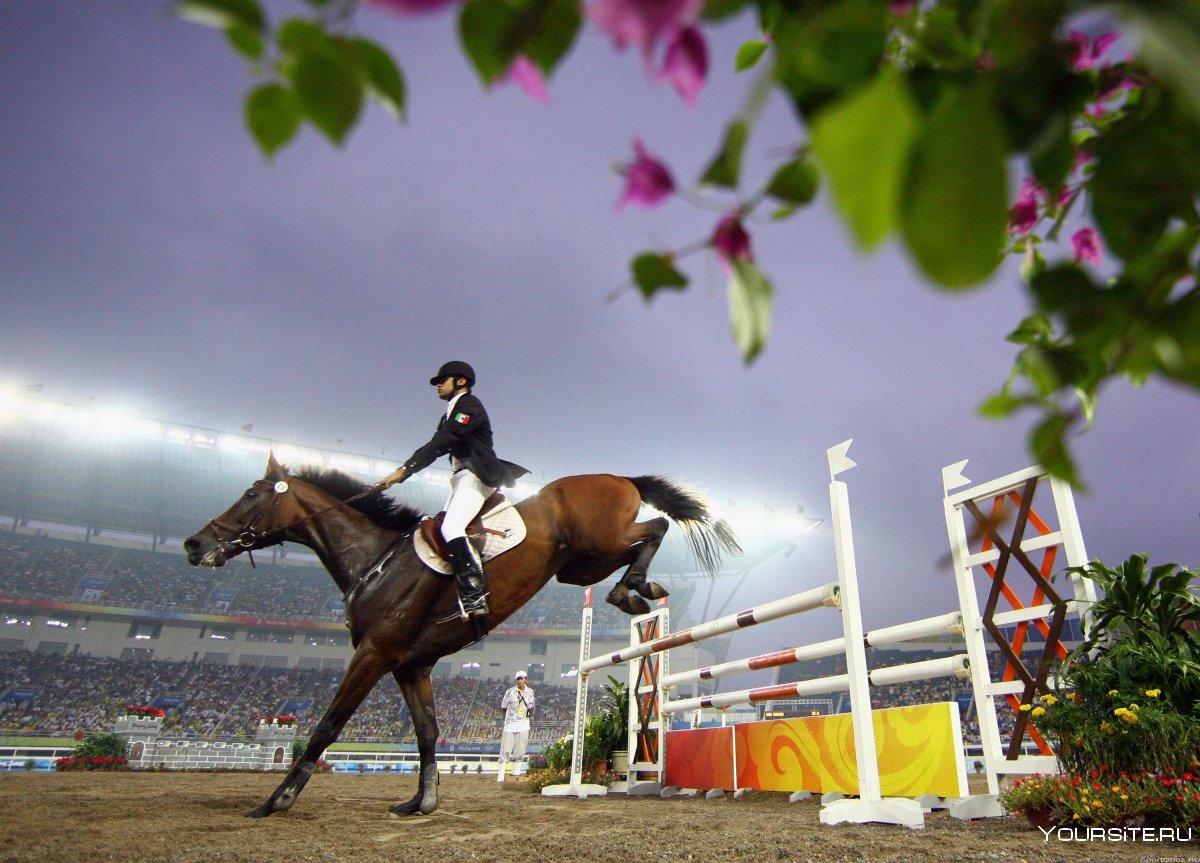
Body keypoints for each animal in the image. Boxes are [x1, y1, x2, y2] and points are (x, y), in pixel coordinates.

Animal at [184, 451, 739, 816]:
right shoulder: (411, 666)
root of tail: (618, 476)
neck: (375, 563)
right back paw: (635, 588)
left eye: (251, 495)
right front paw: (421, 801)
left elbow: (327, 726)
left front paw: (277, 800)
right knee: (639, 544)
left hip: (598, 540)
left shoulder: (373, 655)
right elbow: (427, 733)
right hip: (579, 565)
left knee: (654, 530)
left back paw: (633, 589)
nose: (194, 544)